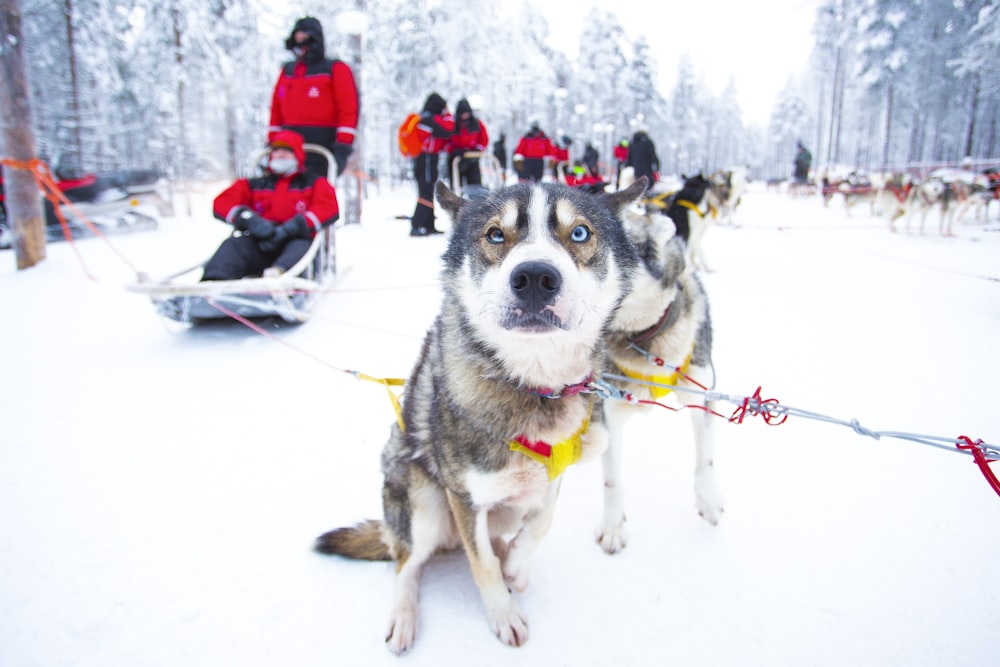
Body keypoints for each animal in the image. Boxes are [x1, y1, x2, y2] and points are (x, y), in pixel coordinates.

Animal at [316, 180, 652, 656]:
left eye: (580, 233)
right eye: (495, 234)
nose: (535, 278)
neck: (533, 385)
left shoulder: (551, 475)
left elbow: (541, 521)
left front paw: (518, 564)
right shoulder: (464, 496)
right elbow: (483, 565)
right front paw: (502, 613)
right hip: (423, 503)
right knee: (406, 564)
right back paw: (403, 615)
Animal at [592, 206, 720, 556]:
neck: (645, 342)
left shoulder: (703, 395)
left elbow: (705, 458)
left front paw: (709, 501)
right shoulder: (608, 413)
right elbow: (612, 481)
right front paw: (613, 528)